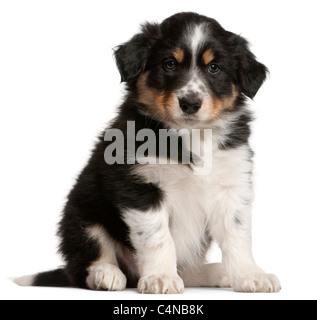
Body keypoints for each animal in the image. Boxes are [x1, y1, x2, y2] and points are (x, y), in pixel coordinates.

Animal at [15, 11, 282, 292]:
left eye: (214, 68)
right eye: (169, 64)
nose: (190, 103)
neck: (191, 135)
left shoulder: (232, 184)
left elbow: (237, 235)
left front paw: (251, 275)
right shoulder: (140, 185)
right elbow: (158, 237)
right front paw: (160, 277)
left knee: (185, 269)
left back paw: (215, 272)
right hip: (81, 216)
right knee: (87, 262)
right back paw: (106, 274)